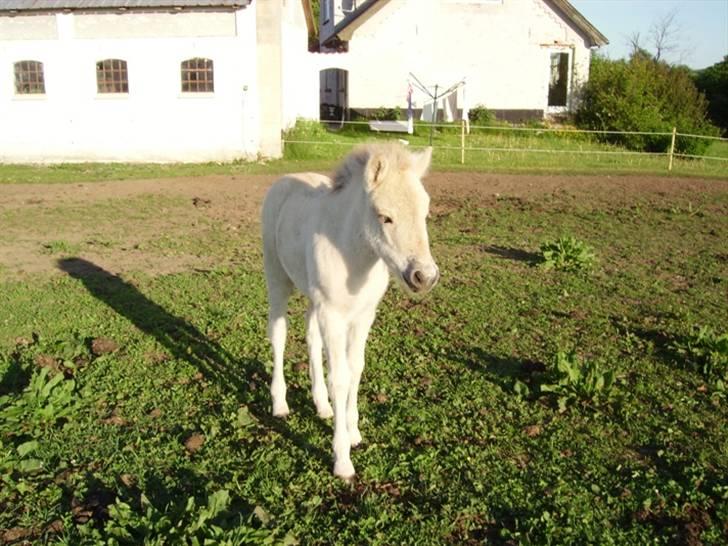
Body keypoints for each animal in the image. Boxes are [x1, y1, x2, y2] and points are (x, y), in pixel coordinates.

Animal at [262, 141, 438, 476]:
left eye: (425, 213)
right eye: (385, 217)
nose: (425, 277)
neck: (356, 256)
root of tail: (284, 179)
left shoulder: (363, 315)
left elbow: (356, 367)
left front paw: (353, 431)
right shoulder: (333, 315)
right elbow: (340, 377)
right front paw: (342, 458)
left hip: (313, 296)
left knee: (311, 338)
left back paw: (322, 405)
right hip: (277, 279)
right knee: (278, 334)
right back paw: (279, 404)